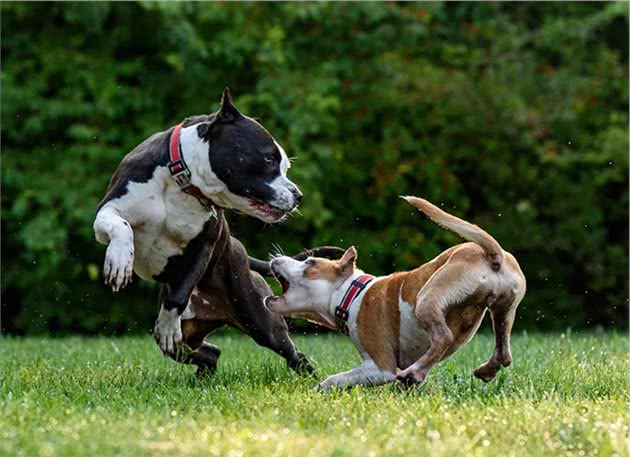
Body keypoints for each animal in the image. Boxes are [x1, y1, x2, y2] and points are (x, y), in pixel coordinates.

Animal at [93, 89, 338, 374]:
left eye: (285, 166)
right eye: (268, 159)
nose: (298, 195)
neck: (182, 181)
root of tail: (240, 249)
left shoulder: (203, 247)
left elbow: (178, 295)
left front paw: (167, 326)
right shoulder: (108, 210)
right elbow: (121, 227)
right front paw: (120, 260)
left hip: (261, 320)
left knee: (292, 353)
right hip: (190, 337)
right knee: (209, 352)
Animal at [266, 194, 528, 390]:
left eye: (309, 262)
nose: (275, 258)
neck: (351, 293)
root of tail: (493, 253)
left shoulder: (379, 367)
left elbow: (335, 379)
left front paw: (317, 391)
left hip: (428, 297)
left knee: (443, 336)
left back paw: (413, 372)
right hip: (503, 310)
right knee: (503, 353)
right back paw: (480, 371)